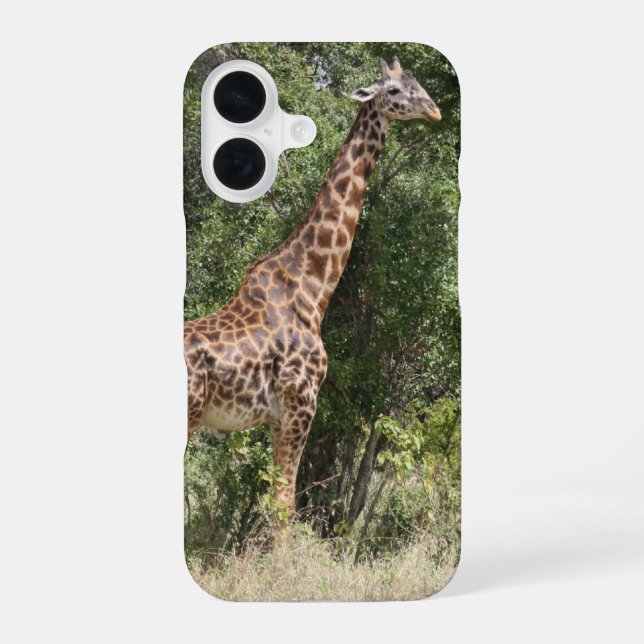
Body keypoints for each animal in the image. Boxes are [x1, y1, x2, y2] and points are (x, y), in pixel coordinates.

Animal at [184, 57, 441, 517]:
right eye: (394, 91)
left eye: (418, 84)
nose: (436, 111)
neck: (312, 288)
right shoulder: (300, 405)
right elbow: (285, 504)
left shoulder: (276, 418)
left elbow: (277, 500)